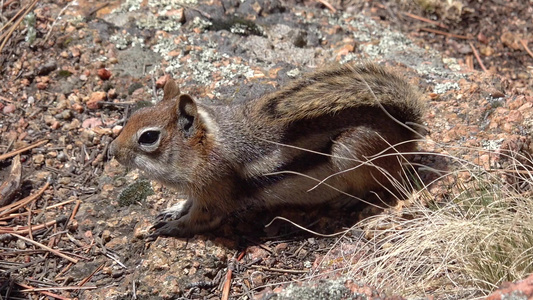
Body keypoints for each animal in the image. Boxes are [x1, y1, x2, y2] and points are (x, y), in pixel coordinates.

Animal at [108, 63, 424, 237]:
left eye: (149, 137)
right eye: (136, 113)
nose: (112, 151)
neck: (206, 147)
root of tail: (406, 132)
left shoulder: (215, 193)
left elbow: (201, 219)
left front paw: (173, 229)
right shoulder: (200, 192)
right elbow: (187, 204)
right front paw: (174, 209)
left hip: (349, 150)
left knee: (381, 184)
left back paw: (346, 200)